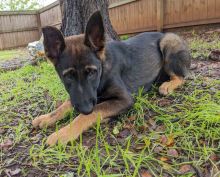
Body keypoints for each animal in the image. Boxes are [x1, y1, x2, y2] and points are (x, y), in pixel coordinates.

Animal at [31, 11, 190, 147]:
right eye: (68, 76)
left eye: (92, 72)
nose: (85, 109)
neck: (102, 73)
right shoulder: (80, 96)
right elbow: (65, 104)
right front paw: (47, 117)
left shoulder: (124, 99)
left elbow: (93, 111)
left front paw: (63, 133)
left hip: (168, 42)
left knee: (182, 76)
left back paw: (168, 85)